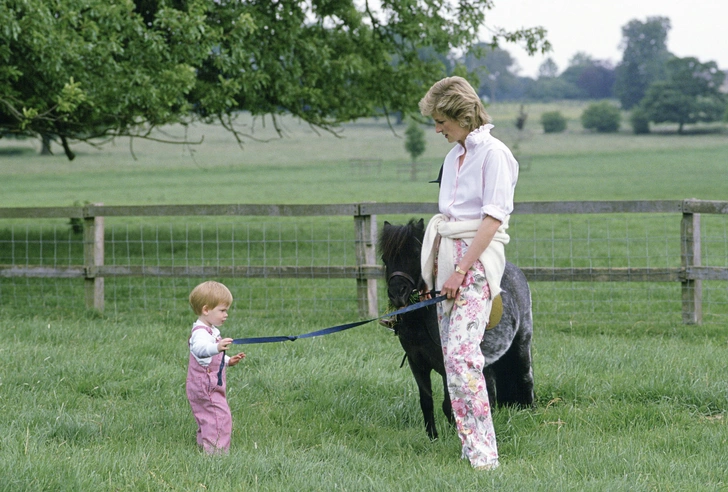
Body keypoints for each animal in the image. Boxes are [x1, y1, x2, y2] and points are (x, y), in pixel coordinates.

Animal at [382, 217, 536, 440]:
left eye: (416, 254)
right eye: (385, 258)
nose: (397, 294)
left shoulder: (446, 365)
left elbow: (450, 405)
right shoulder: (416, 362)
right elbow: (427, 402)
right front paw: (433, 438)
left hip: (522, 344)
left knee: (525, 376)